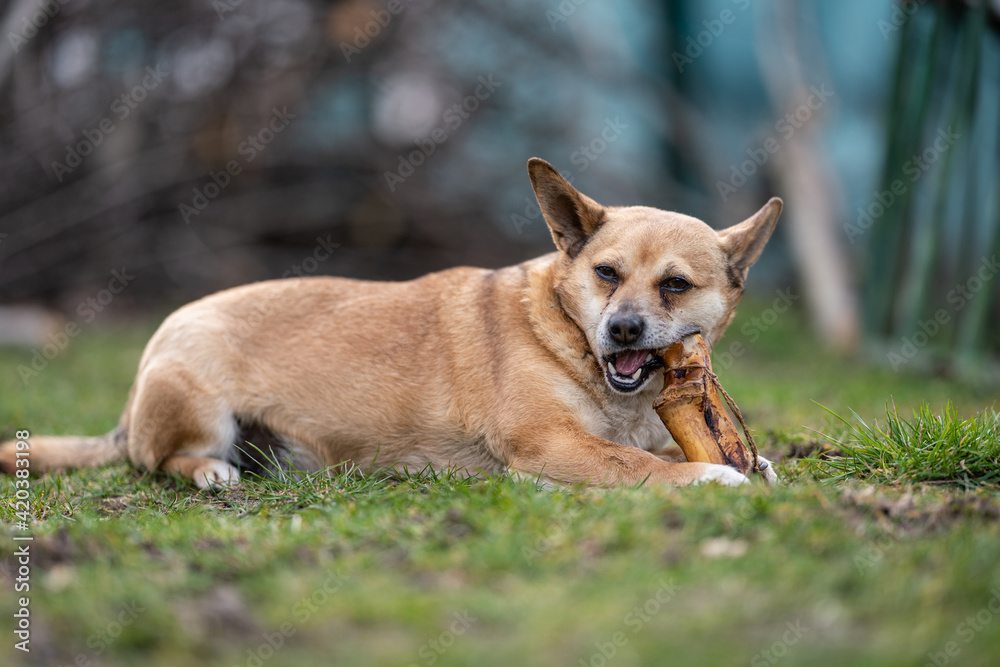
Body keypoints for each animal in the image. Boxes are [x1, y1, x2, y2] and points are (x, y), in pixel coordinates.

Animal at [0, 159, 780, 488]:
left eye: (674, 285)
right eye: (607, 274)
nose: (621, 330)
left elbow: (665, 450)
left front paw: (748, 462)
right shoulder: (548, 444)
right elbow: (642, 465)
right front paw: (713, 478)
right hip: (196, 404)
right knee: (159, 460)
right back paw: (211, 471)